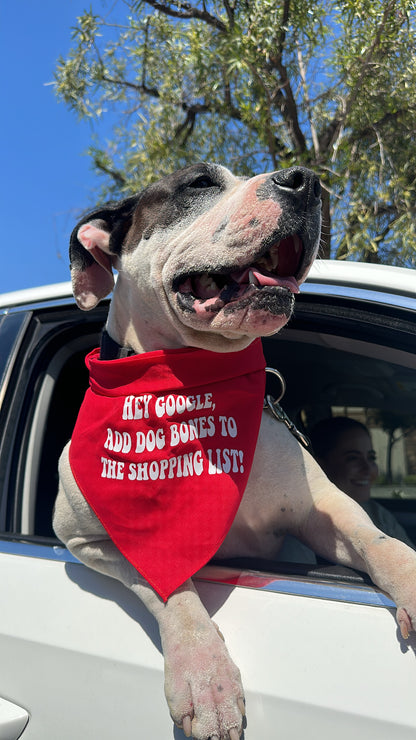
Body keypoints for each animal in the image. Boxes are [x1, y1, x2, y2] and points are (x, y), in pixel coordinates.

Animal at [52, 163, 416, 740]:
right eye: (199, 183)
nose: (306, 180)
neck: (192, 385)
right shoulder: (83, 539)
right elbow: (168, 586)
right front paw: (205, 677)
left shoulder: (323, 510)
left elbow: (380, 542)